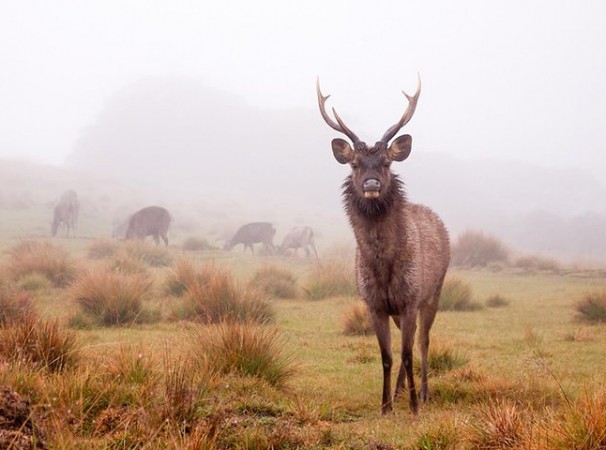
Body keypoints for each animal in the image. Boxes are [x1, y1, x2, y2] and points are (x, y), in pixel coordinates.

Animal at [316, 76, 450, 415]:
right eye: (354, 164)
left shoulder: (411, 297)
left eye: (387, 162)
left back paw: (424, 394)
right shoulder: (374, 303)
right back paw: (401, 391)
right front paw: (385, 405)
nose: (372, 184)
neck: (383, 267)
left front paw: (414, 407)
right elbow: (387, 356)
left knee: (423, 342)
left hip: (434, 292)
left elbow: (407, 353)